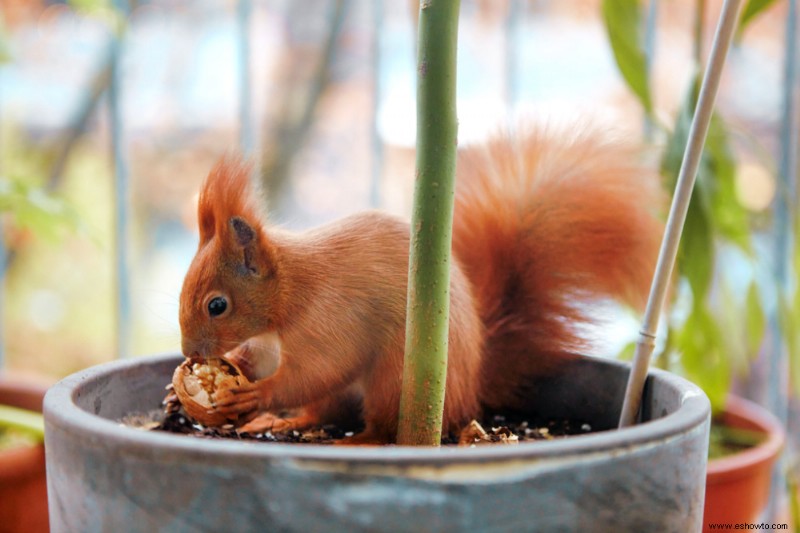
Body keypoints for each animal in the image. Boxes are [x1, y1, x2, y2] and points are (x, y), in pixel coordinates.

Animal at [180, 123, 664, 440]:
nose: (190, 354)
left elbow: (320, 370)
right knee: (322, 411)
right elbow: (260, 362)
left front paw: (256, 396)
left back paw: (359, 442)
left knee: (379, 425)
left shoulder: (332, 320)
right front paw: (230, 371)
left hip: (397, 381)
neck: (287, 298)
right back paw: (286, 421)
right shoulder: (266, 344)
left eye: (217, 305)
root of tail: (471, 389)